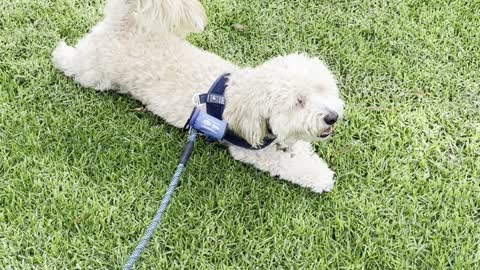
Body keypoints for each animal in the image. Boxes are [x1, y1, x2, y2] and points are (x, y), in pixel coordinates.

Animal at [51, 0, 344, 194]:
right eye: (298, 102)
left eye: (323, 90)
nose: (332, 117)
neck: (246, 99)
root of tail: (123, 23)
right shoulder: (252, 152)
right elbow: (289, 165)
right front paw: (321, 178)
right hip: (94, 73)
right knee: (72, 63)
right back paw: (60, 53)